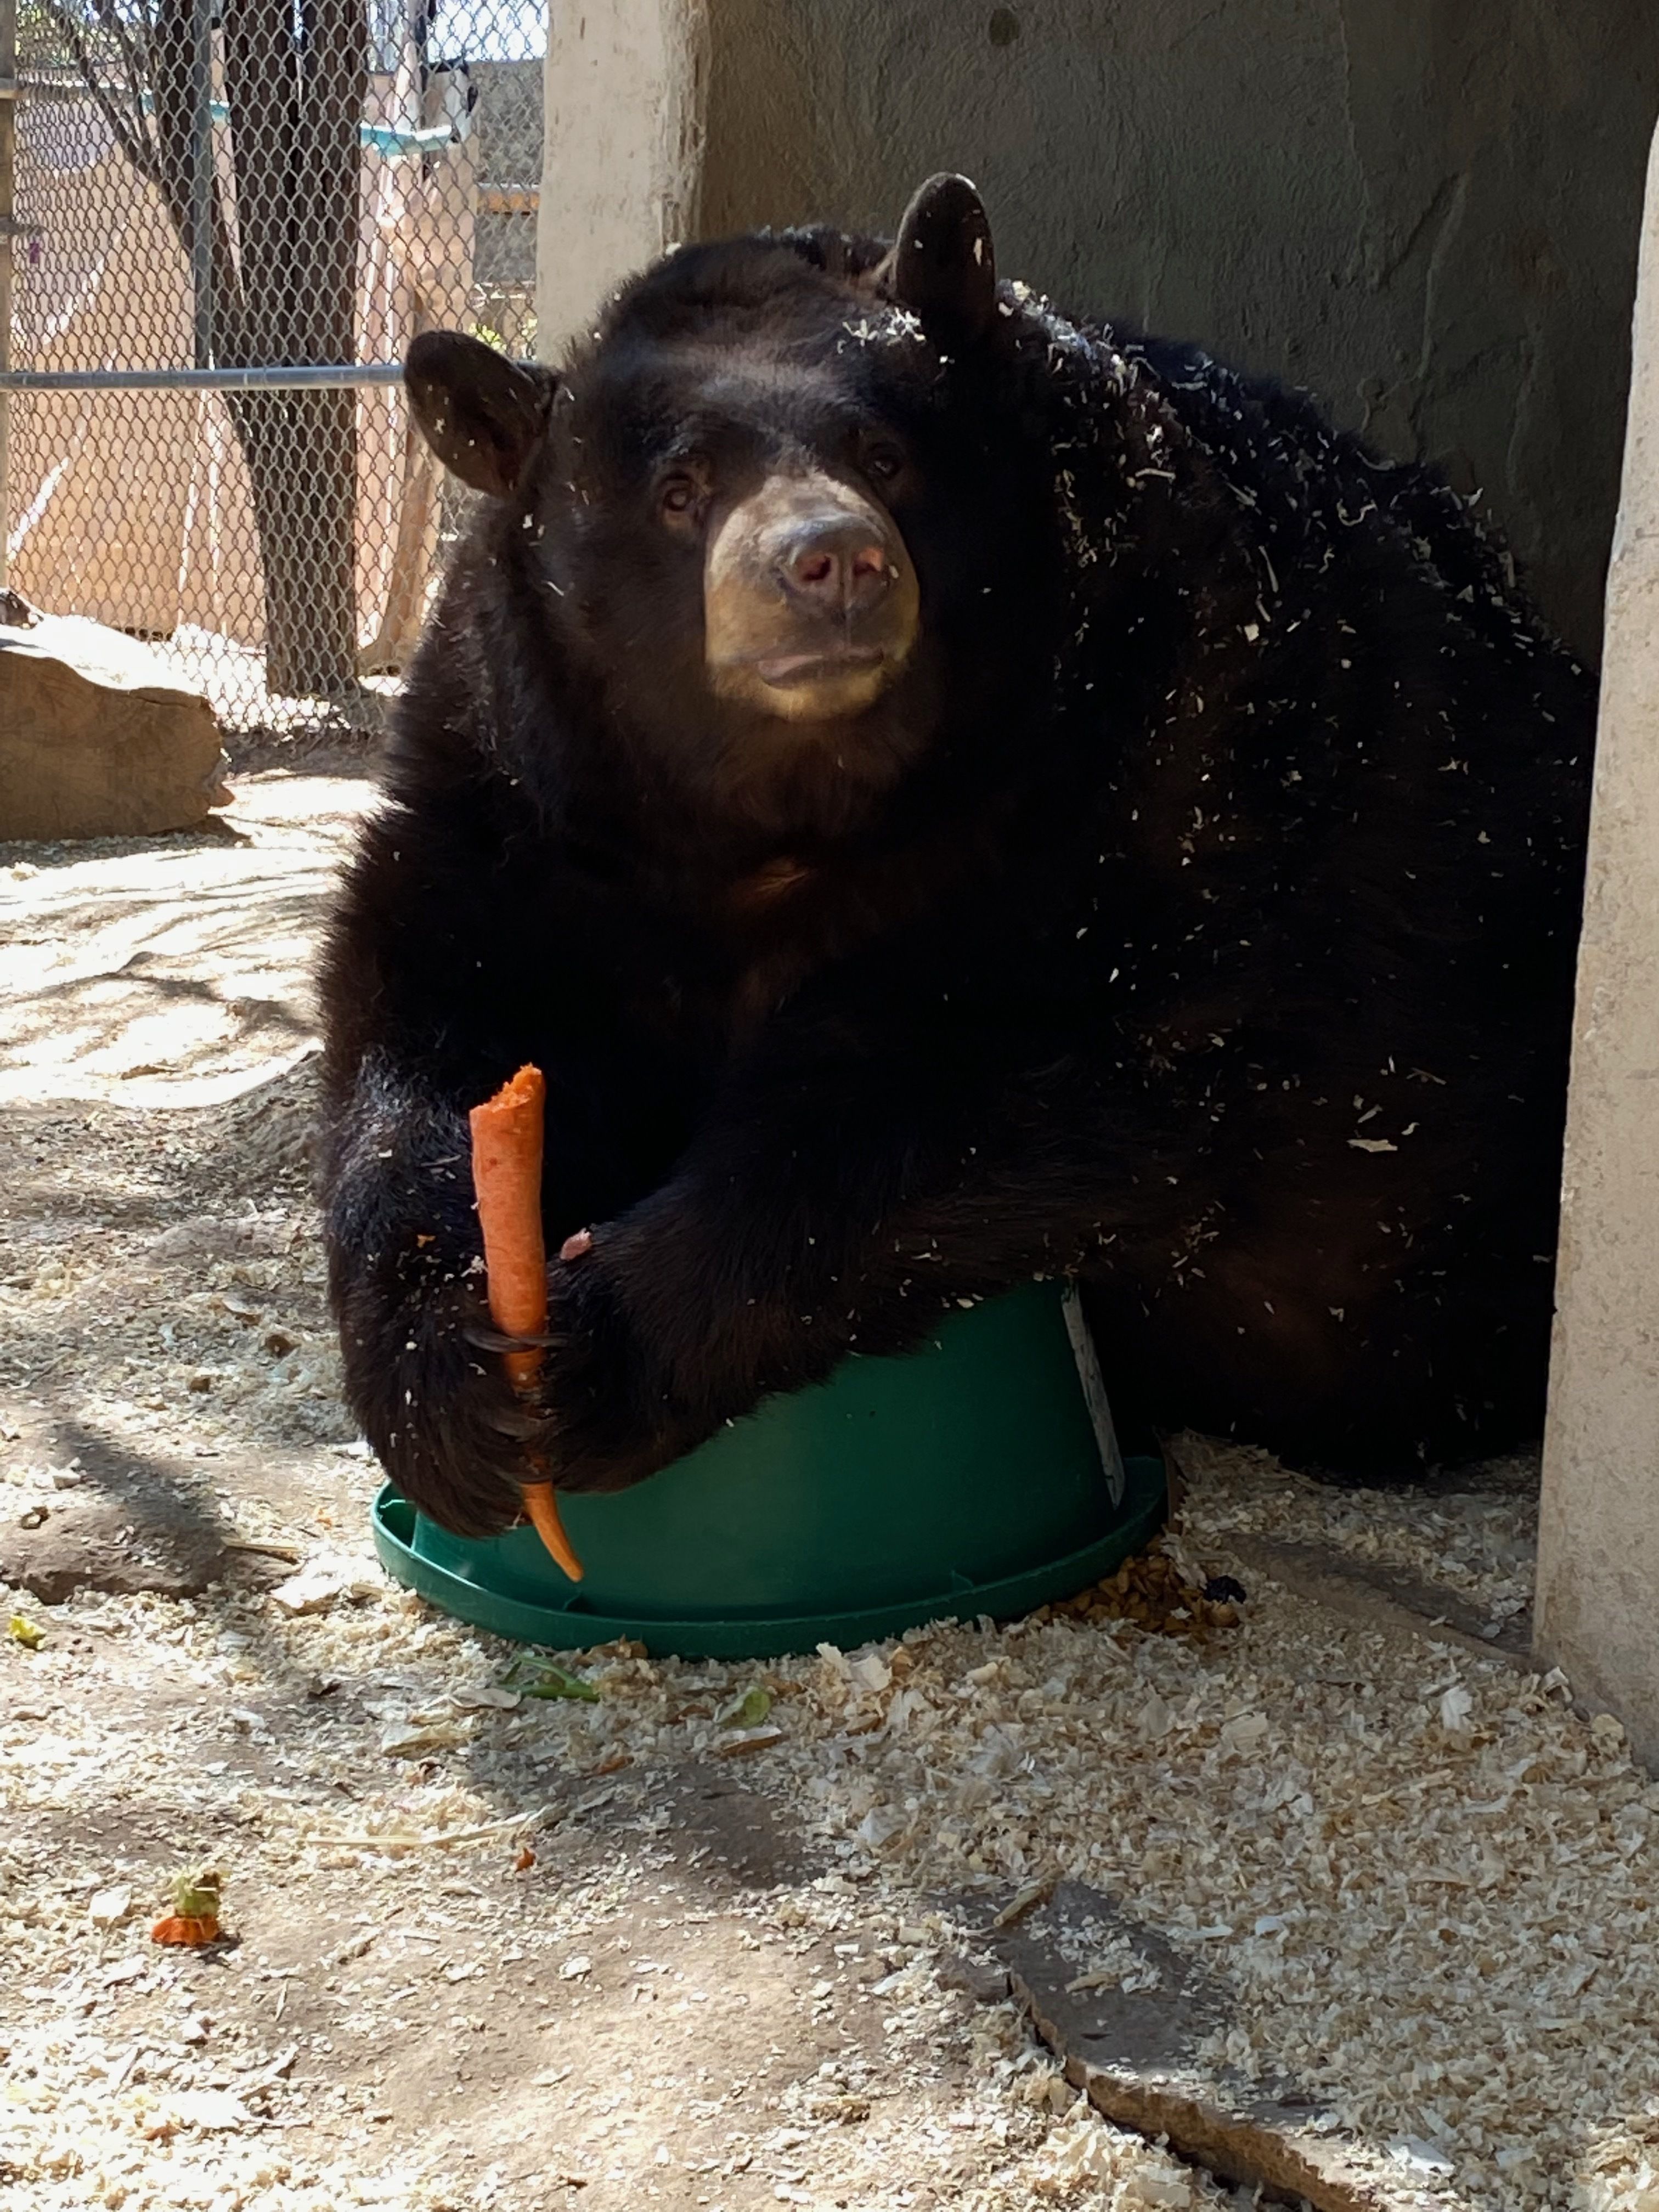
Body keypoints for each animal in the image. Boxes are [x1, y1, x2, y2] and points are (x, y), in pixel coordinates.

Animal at [318, 177, 1601, 1539]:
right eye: (679, 489)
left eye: (883, 455)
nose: (831, 561)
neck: (795, 819)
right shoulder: (521, 803)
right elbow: (440, 1021)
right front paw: (452, 1373)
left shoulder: (1168, 773)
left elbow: (990, 1088)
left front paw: (598, 1350)